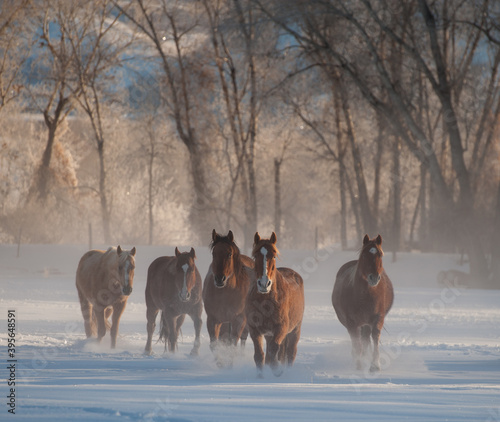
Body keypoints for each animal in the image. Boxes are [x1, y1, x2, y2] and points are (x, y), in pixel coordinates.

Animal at [202, 229, 254, 358]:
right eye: (214, 254)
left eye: (229, 254)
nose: (220, 279)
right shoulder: (213, 319)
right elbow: (215, 345)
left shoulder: (239, 320)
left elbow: (232, 346)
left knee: (243, 339)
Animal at [246, 232, 304, 378]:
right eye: (255, 256)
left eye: (273, 255)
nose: (263, 284)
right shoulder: (254, 329)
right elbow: (259, 355)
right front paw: (260, 376)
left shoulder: (281, 328)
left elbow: (273, 350)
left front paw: (277, 370)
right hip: (269, 334)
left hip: (295, 330)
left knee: (291, 352)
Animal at [332, 234, 394, 372]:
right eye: (364, 255)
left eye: (380, 255)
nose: (374, 278)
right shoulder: (352, 323)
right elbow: (357, 344)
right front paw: (359, 365)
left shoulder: (378, 318)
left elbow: (375, 337)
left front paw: (375, 365)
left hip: (366, 323)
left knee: (366, 338)